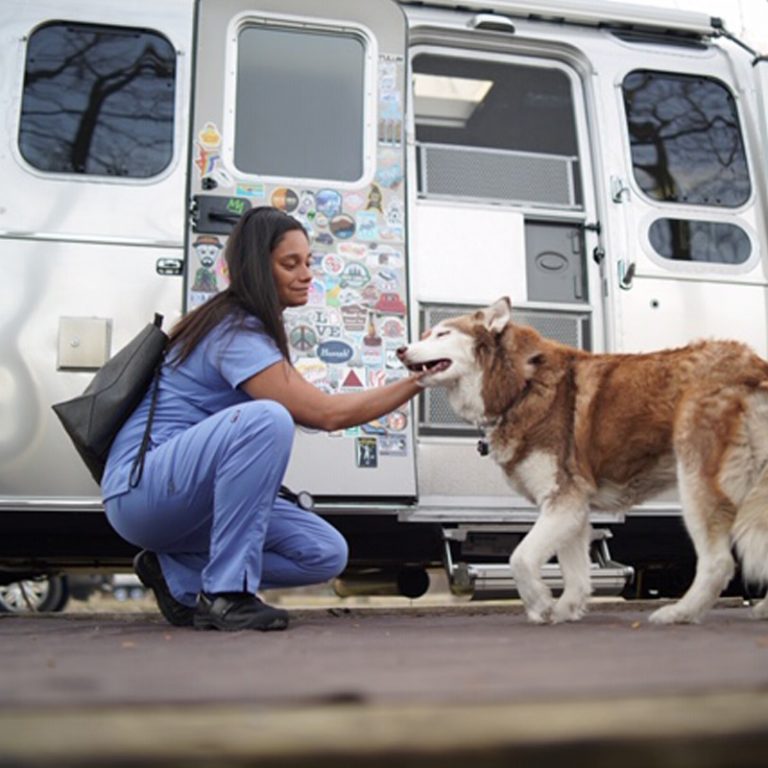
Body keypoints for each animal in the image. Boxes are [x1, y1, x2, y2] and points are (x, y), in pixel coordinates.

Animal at [397, 297, 768, 624]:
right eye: (427, 334)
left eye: (442, 334)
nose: (401, 349)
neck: (522, 383)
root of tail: (753, 365)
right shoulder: (573, 509)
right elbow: (575, 575)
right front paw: (563, 611)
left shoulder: (563, 500)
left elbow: (520, 558)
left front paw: (540, 603)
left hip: (695, 483)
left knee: (718, 563)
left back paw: (680, 613)